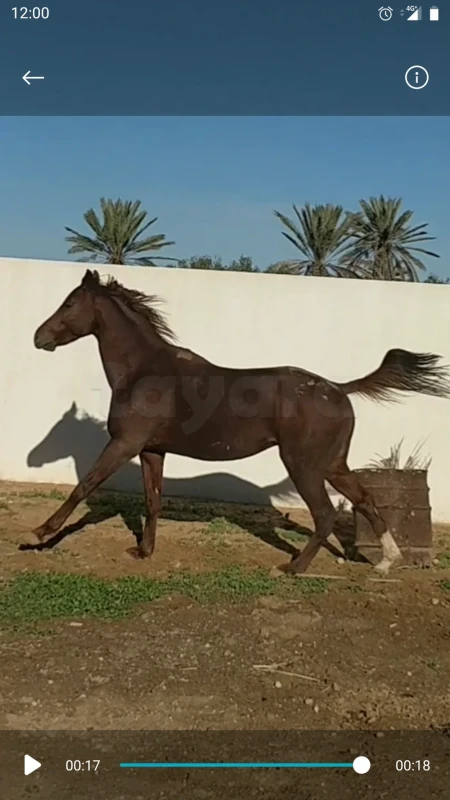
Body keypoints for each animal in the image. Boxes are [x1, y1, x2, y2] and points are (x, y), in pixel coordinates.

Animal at [32, 268, 450, 575]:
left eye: (70, 302)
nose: (39, 337)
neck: (144, 372)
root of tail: (337, 388)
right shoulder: (152, 450)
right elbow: (153, 500)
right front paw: (144, 551)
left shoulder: (124, 444)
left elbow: (84, 485)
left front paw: (40, 533)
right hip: (333, 464)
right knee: (364, 499)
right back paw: (386, 561)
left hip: (304, 465)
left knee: (326, 514)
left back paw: (294, 567)